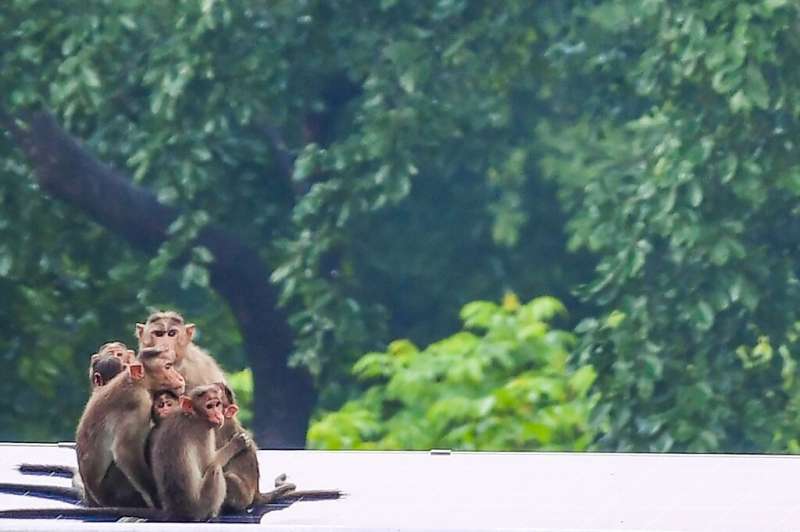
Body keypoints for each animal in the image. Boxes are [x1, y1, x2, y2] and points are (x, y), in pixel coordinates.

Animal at [76, 347, 185, 509]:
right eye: (167, 367)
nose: (180, 378)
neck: (139, 382)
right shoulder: (138, 403)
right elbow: (125, 451)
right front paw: (156, 497)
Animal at [149, 383, 250, 521]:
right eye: (209, 406)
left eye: (217, 404)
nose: (218, 416)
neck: (193, 415)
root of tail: (179, 511)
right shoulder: (204, 433)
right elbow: (209, 463)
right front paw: (236, 444)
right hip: (202, 505)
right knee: (215, 469)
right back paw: (212, 514)